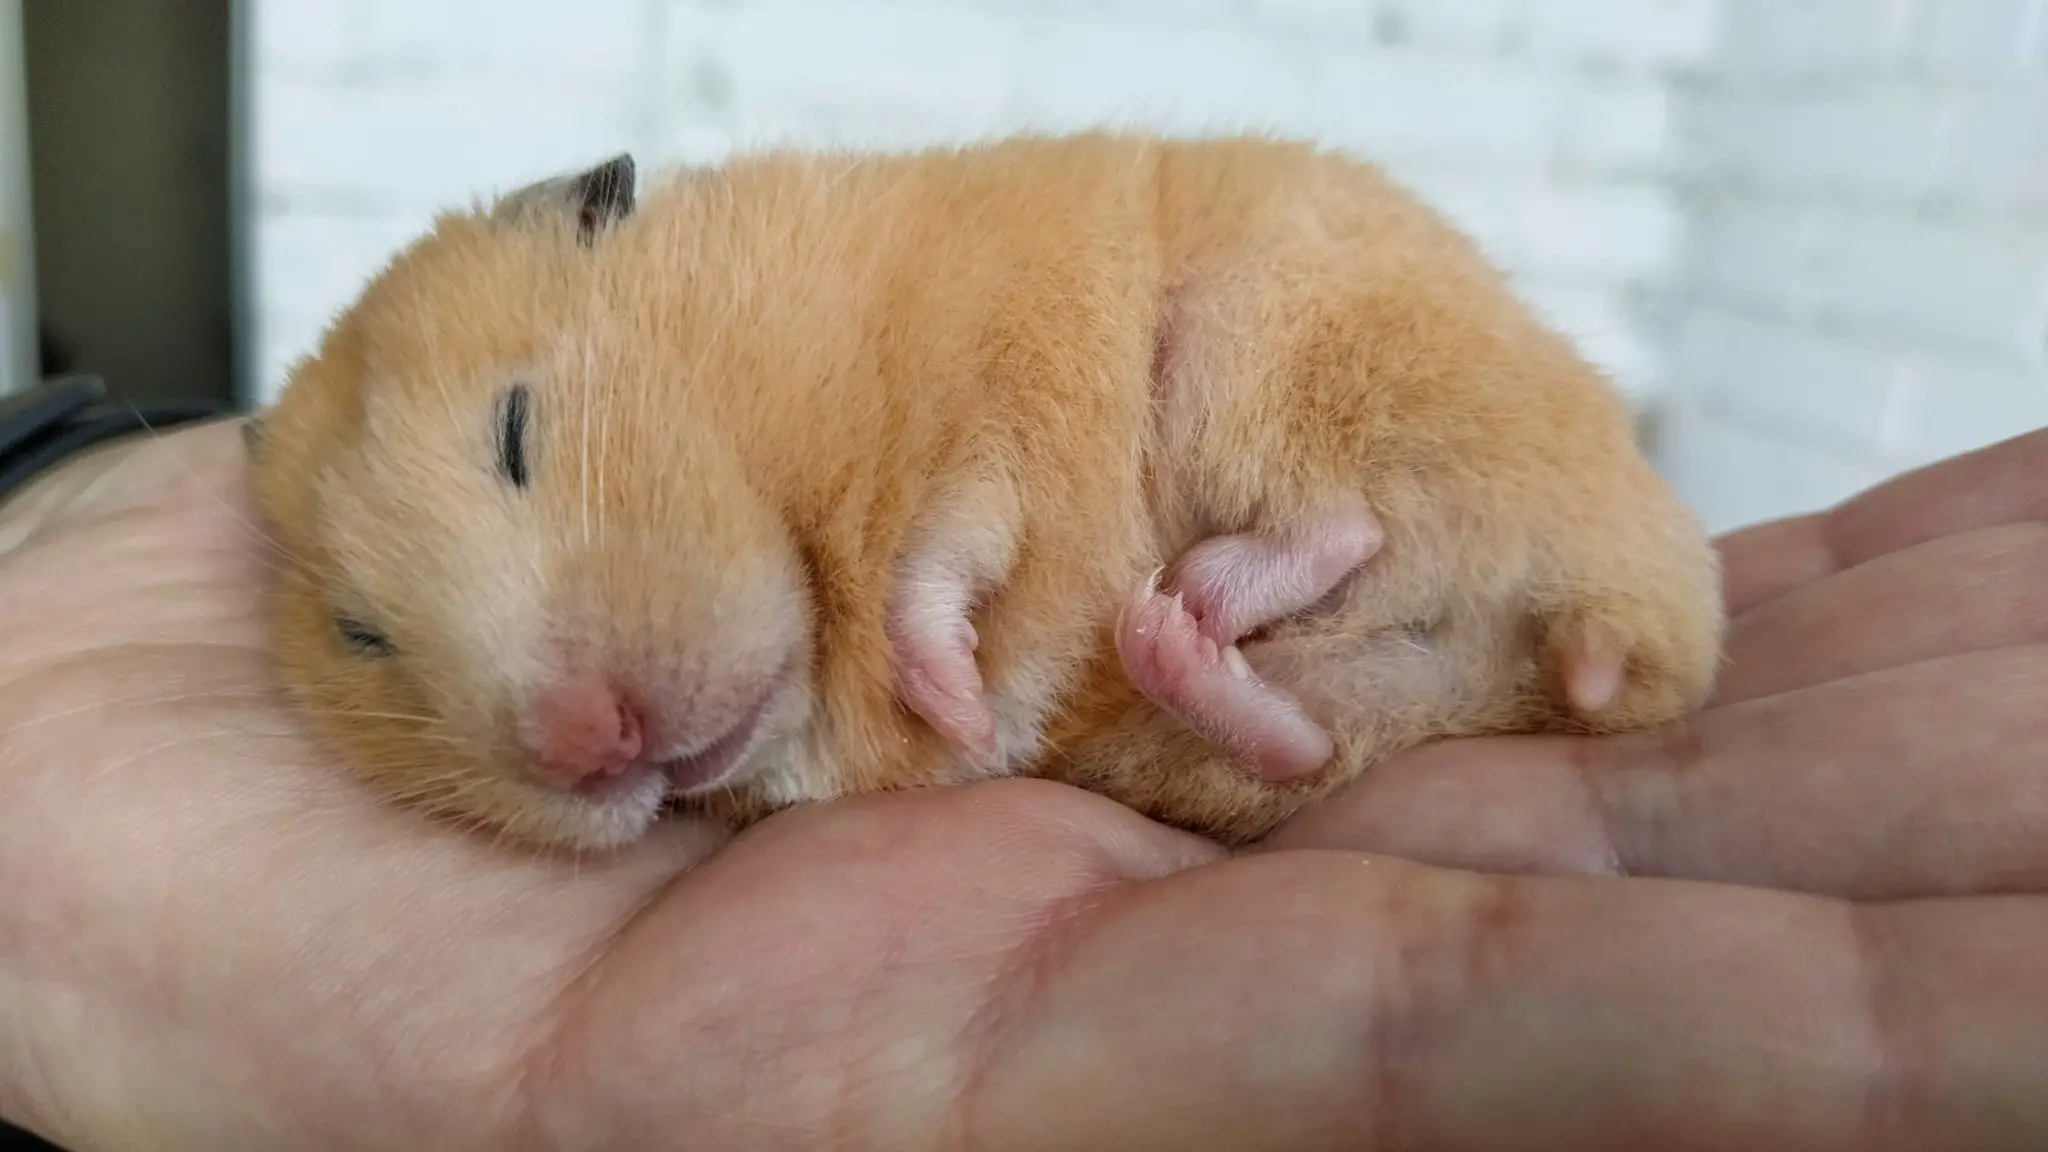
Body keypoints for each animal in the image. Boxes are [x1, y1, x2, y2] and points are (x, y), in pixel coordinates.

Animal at [246, 131, 1724, 853]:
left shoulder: (1016, 374)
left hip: (1267, 335)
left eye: (517, 429)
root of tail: (1649, 629)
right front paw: (961, 709)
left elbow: (955, 536)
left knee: (1353, 514)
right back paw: (1182, 640)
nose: (588, 745)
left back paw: (1196, 592)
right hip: (1373, 694)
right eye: (360, 637)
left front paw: (948, 694)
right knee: (1297, 735)